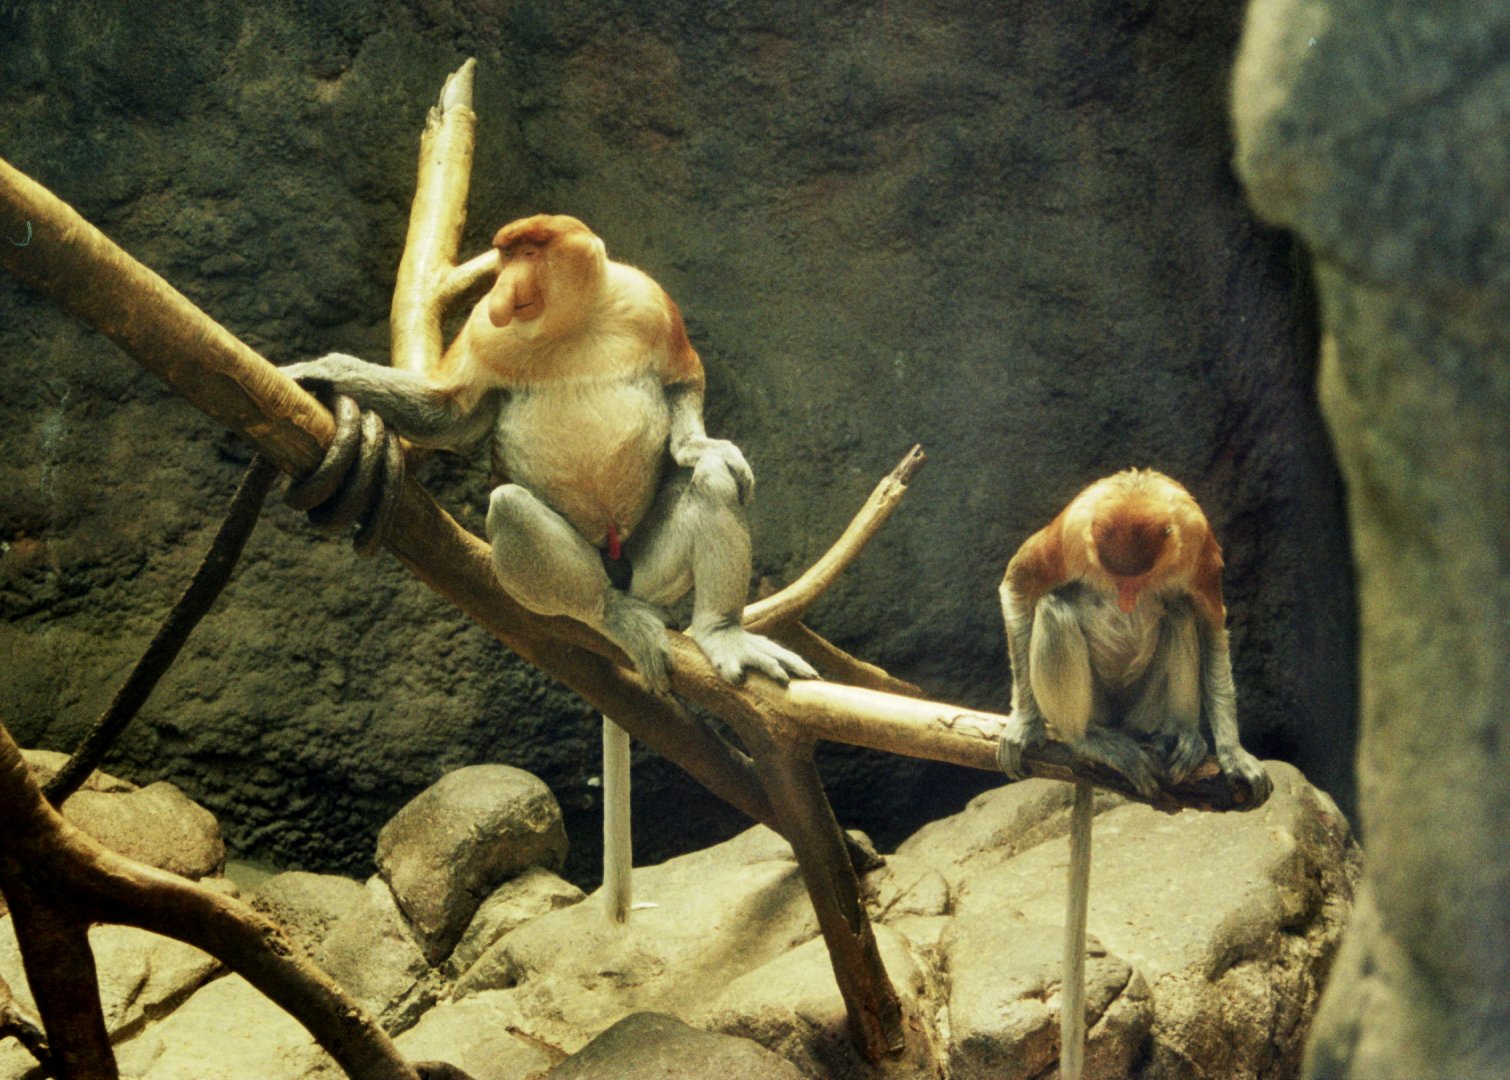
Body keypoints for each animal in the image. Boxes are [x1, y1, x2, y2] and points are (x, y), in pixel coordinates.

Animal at [281, 214, 816, 922]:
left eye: (528, 253)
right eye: (503, 258)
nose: (506, 290)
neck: (569, 328)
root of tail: (618, 572)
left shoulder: (647, 301)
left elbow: (683, 380)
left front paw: (700, 442)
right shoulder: (485, 334)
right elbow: (450, 413)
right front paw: (324, 369)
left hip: (652, 568)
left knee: (710, 480)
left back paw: (719, 629)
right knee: (511, 508)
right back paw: (613, 615)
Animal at [994, 468, 1272, 1080]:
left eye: (1136, 577)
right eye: (1116, 577)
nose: (1124, 598)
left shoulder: (1197, 540)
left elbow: (1208, 617)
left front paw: (1234, 753)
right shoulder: (1071, 535)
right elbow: (1021, 585)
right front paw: (1023, 725)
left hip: (1144, 703)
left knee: (1179, 613)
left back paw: (1180, 738)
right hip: (1093, 704)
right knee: (1053, 605)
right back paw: (1088, 740)